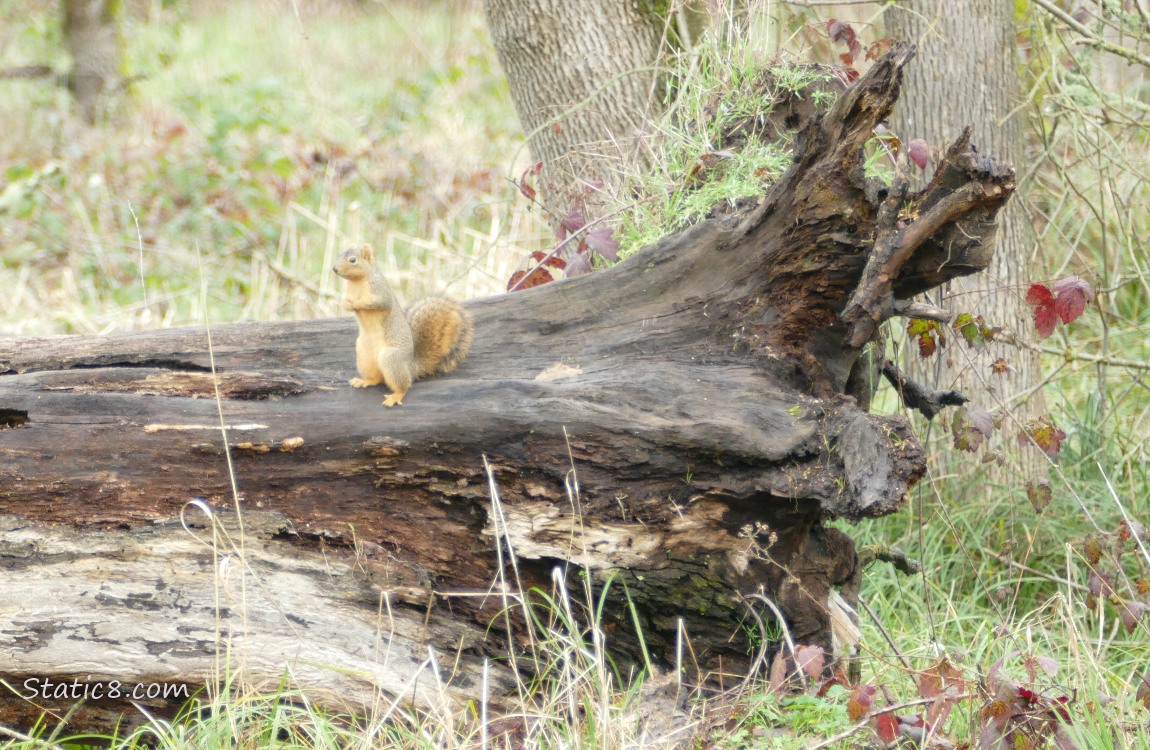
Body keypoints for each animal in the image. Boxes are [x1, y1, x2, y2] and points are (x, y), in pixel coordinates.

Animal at [333, 247, 471, 407]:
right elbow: (344, 303)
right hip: (364, 355)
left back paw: (395, 396)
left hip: (391, 359)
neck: (356, 282)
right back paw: (364, 381)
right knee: (377, 378)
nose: (334, 269)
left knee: (404, 385)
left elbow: (375, 302)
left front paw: (357, 303)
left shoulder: (380, 291)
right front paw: (348, 304)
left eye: (353, 260)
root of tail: (410, 367)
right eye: (340, 255)